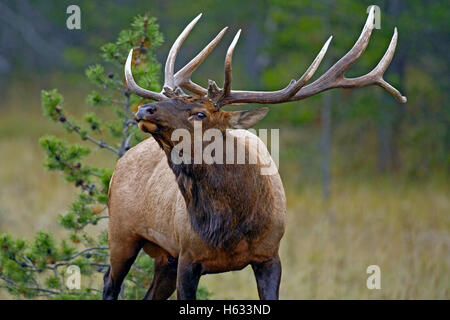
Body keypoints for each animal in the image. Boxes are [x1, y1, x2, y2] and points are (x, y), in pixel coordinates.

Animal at [103, 8, 406, 302]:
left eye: (200, 113)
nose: (145, 109)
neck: (231, 225)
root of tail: (121, 161)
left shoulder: (269, 255)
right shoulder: (188, 256)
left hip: (164, 257)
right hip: (122, 233)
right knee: (109, 281)